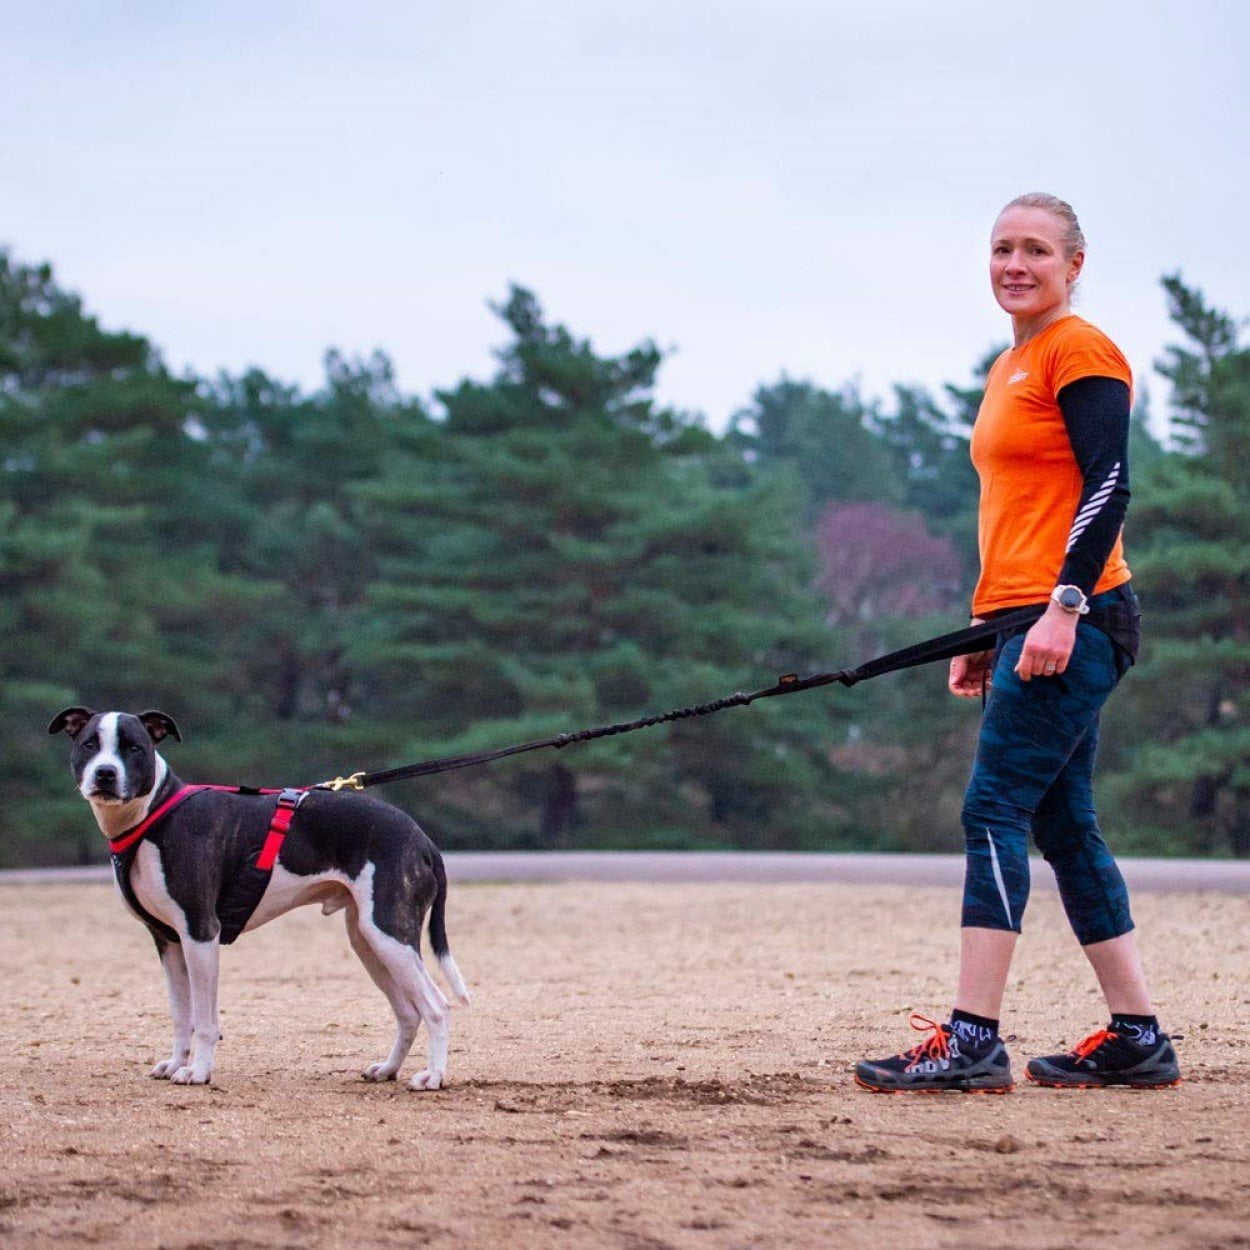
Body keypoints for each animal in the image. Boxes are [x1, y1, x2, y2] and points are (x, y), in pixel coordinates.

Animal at [47, 710, 470, 1090]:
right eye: (89, 745)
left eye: (133, 747)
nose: (105, 773)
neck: (155, 814)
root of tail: (423, 839)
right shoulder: (168, 942)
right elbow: (181, 1015)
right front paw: (176, 1063)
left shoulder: (200, 934)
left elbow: (205, 1020)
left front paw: (198, 1072)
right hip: (368, 941)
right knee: (408, 1012)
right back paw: (388, 1069)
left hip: (388, 934)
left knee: (436, 1007)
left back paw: (433, 1077)